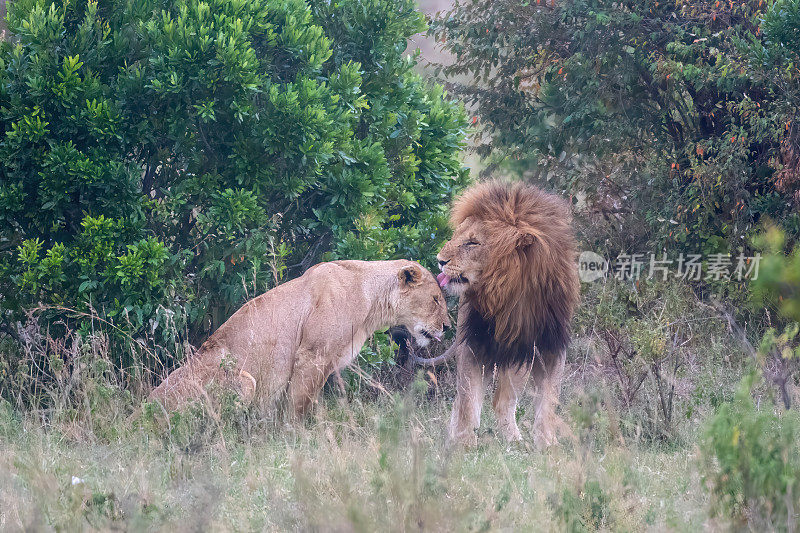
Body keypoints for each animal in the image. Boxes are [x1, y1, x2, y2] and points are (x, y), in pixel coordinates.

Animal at [148, 260, 450, 414]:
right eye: (436, 299)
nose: (447, 326)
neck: (371, 300)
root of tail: (141, 414)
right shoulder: (312, 356)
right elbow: (299, 404)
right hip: (244, 380)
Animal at [432, 181, 576, 446]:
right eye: (457, 235)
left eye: (472, 243)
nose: (440, 260)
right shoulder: (474, 343)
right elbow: (468, 400)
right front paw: (464, 443)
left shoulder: (546, 345)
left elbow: (548, 398)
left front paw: (546, 442)